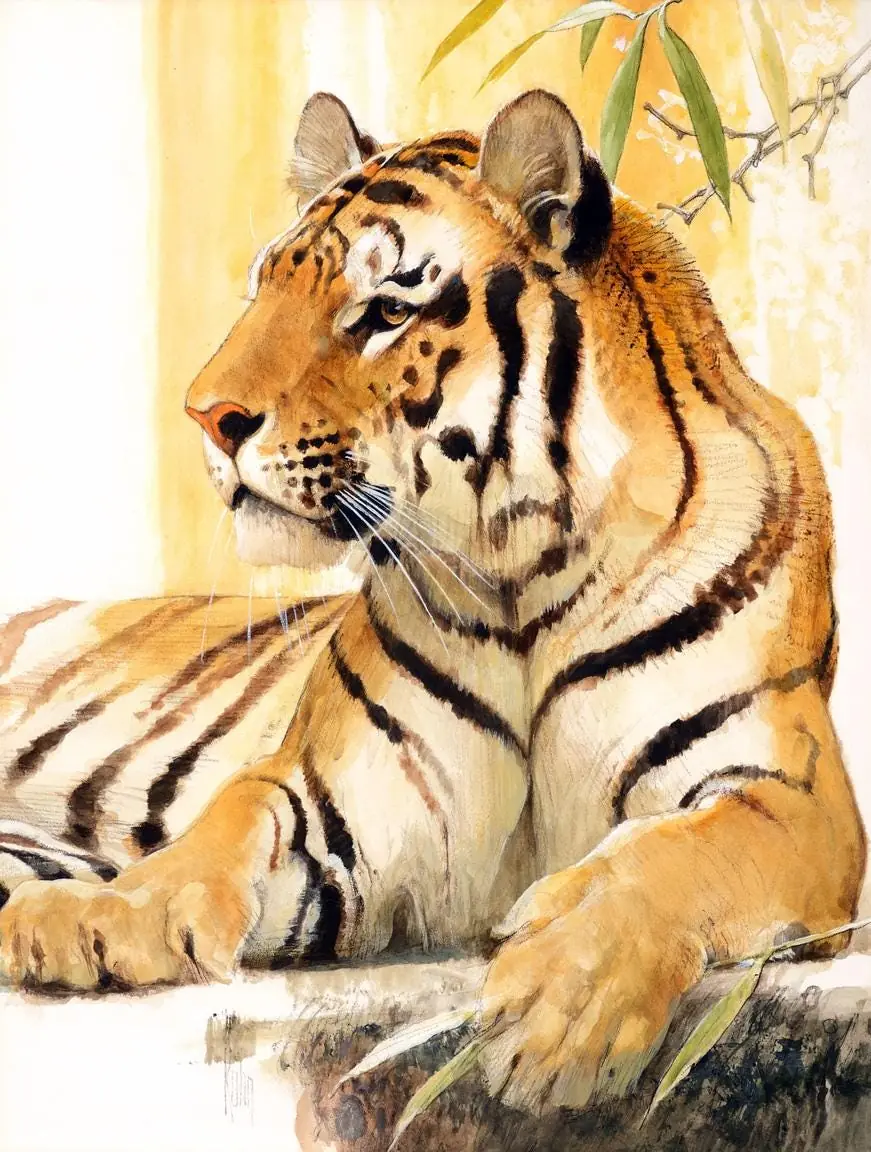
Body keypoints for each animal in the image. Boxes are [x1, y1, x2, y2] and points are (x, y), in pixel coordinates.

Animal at [0, 88, 864, 1116]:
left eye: (381, 311)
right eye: (265, 288)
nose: (207, 417)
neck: (522, 569)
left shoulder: (792, 798)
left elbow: (667, 856)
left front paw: (559, 1000)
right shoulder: (333, 814)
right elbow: (223, 825)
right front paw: (96, 917)